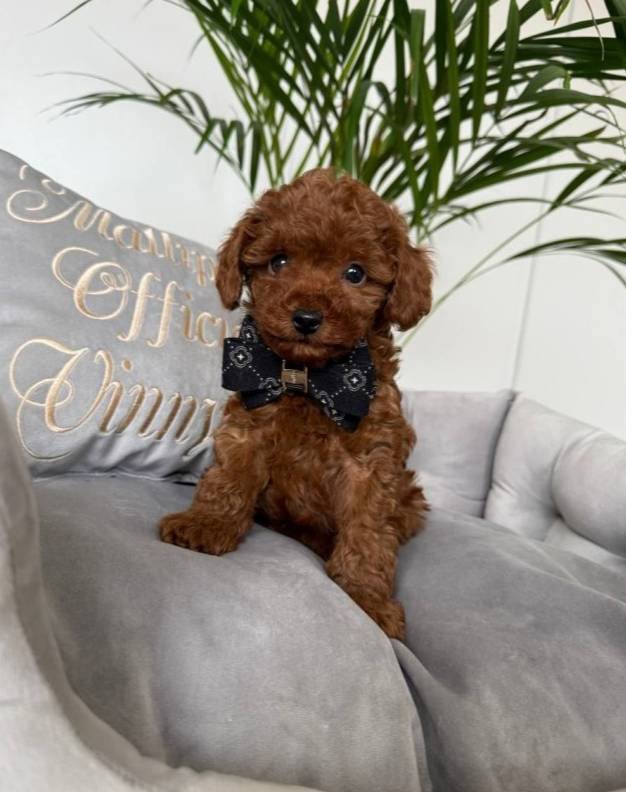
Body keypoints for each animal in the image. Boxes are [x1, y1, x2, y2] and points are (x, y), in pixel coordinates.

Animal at [159, 168, 432, 639]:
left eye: (355, 273)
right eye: (279, 262)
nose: (306, 318)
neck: (310, 379)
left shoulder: (372, 461)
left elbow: (369, 530)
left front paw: (367, 597)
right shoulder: (248, 427)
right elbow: (227, 479)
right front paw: (206, 524)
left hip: (411, 498)